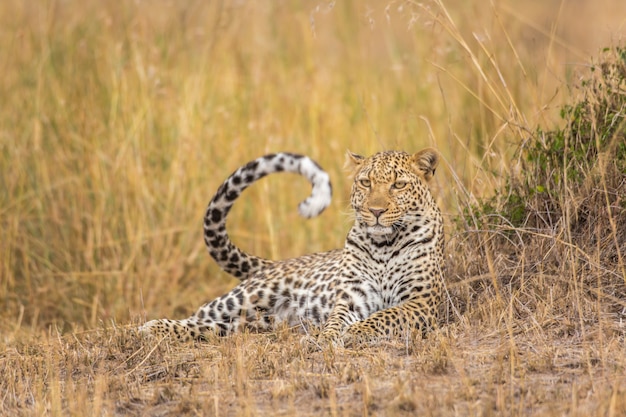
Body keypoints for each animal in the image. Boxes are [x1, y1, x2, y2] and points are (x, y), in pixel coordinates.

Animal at [140, 147, 444, 344]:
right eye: (365, 182)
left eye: (399, 185)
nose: (376, 211)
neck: (384, 244)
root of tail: (275, 262)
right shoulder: (352, 297)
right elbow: (337, 319)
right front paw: (327, 336)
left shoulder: (421, 302)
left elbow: (384, 316)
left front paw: (355, 332)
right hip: (243, 297)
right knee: (198, 316)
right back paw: (152, 327)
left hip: (253, 323)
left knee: (214, 328)